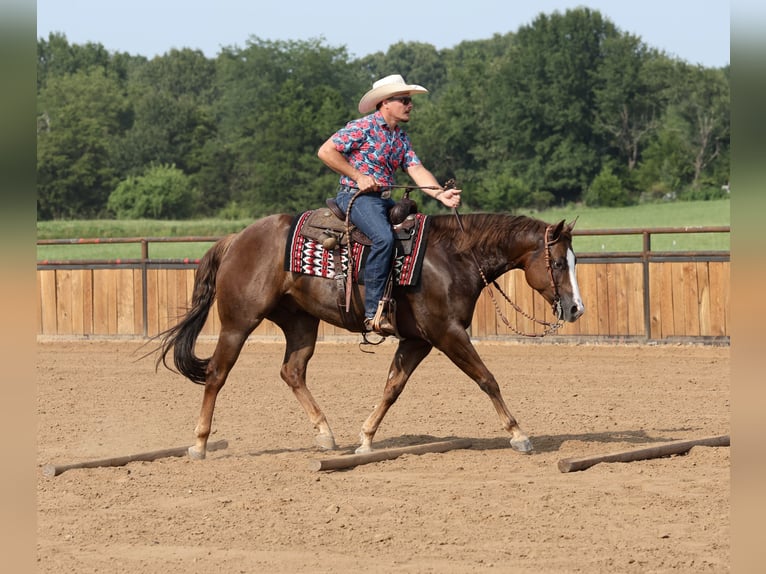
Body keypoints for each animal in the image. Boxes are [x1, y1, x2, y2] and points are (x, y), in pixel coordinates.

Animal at [155, 210, 585, 459]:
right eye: (558, 263)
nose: (576, 308)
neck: (453, 256)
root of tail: (235, 239)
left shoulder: (418, 340)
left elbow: (392, 387)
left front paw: (365, 438)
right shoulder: (447, 333)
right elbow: (487, 378)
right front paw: (519, 434)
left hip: (300, 323)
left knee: (292, 371)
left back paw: (326, 434)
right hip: (238, 323)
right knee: (216, 375)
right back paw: (199, 443)